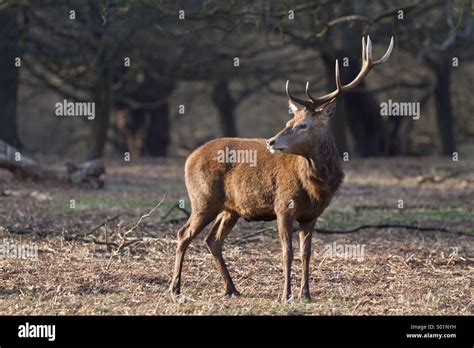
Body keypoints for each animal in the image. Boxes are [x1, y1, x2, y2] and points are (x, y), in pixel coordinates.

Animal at [170, 36, 392, 302]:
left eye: (303, 124)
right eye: (289, 121)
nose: (271, 141)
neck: (315, 186)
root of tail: (188, 158)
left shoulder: (312, 215)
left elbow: (307, 253)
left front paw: (306, 294)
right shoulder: (283, 206)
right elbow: (287, 252)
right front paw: (286, 294)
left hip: (230, 208)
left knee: (212, 239)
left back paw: (231, 288)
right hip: (203, 199)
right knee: (183, 234)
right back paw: (175, 288)